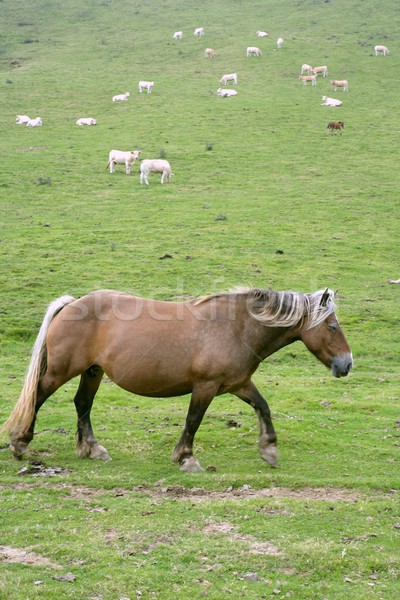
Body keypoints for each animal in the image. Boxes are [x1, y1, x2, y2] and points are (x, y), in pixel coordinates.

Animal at [2, 288, 354, 472]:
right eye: (332, 326)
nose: (347, 364)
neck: (237, 328)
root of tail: (72, 303)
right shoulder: (206, 386)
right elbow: (193, 420)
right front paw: (186, 458)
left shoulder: (237, 384)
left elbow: (263, 407)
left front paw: (269, 450)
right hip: (61, 371)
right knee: (38, 397)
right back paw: (20, 444)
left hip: (92, 372)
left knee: (82, 405)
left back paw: (92, 448)